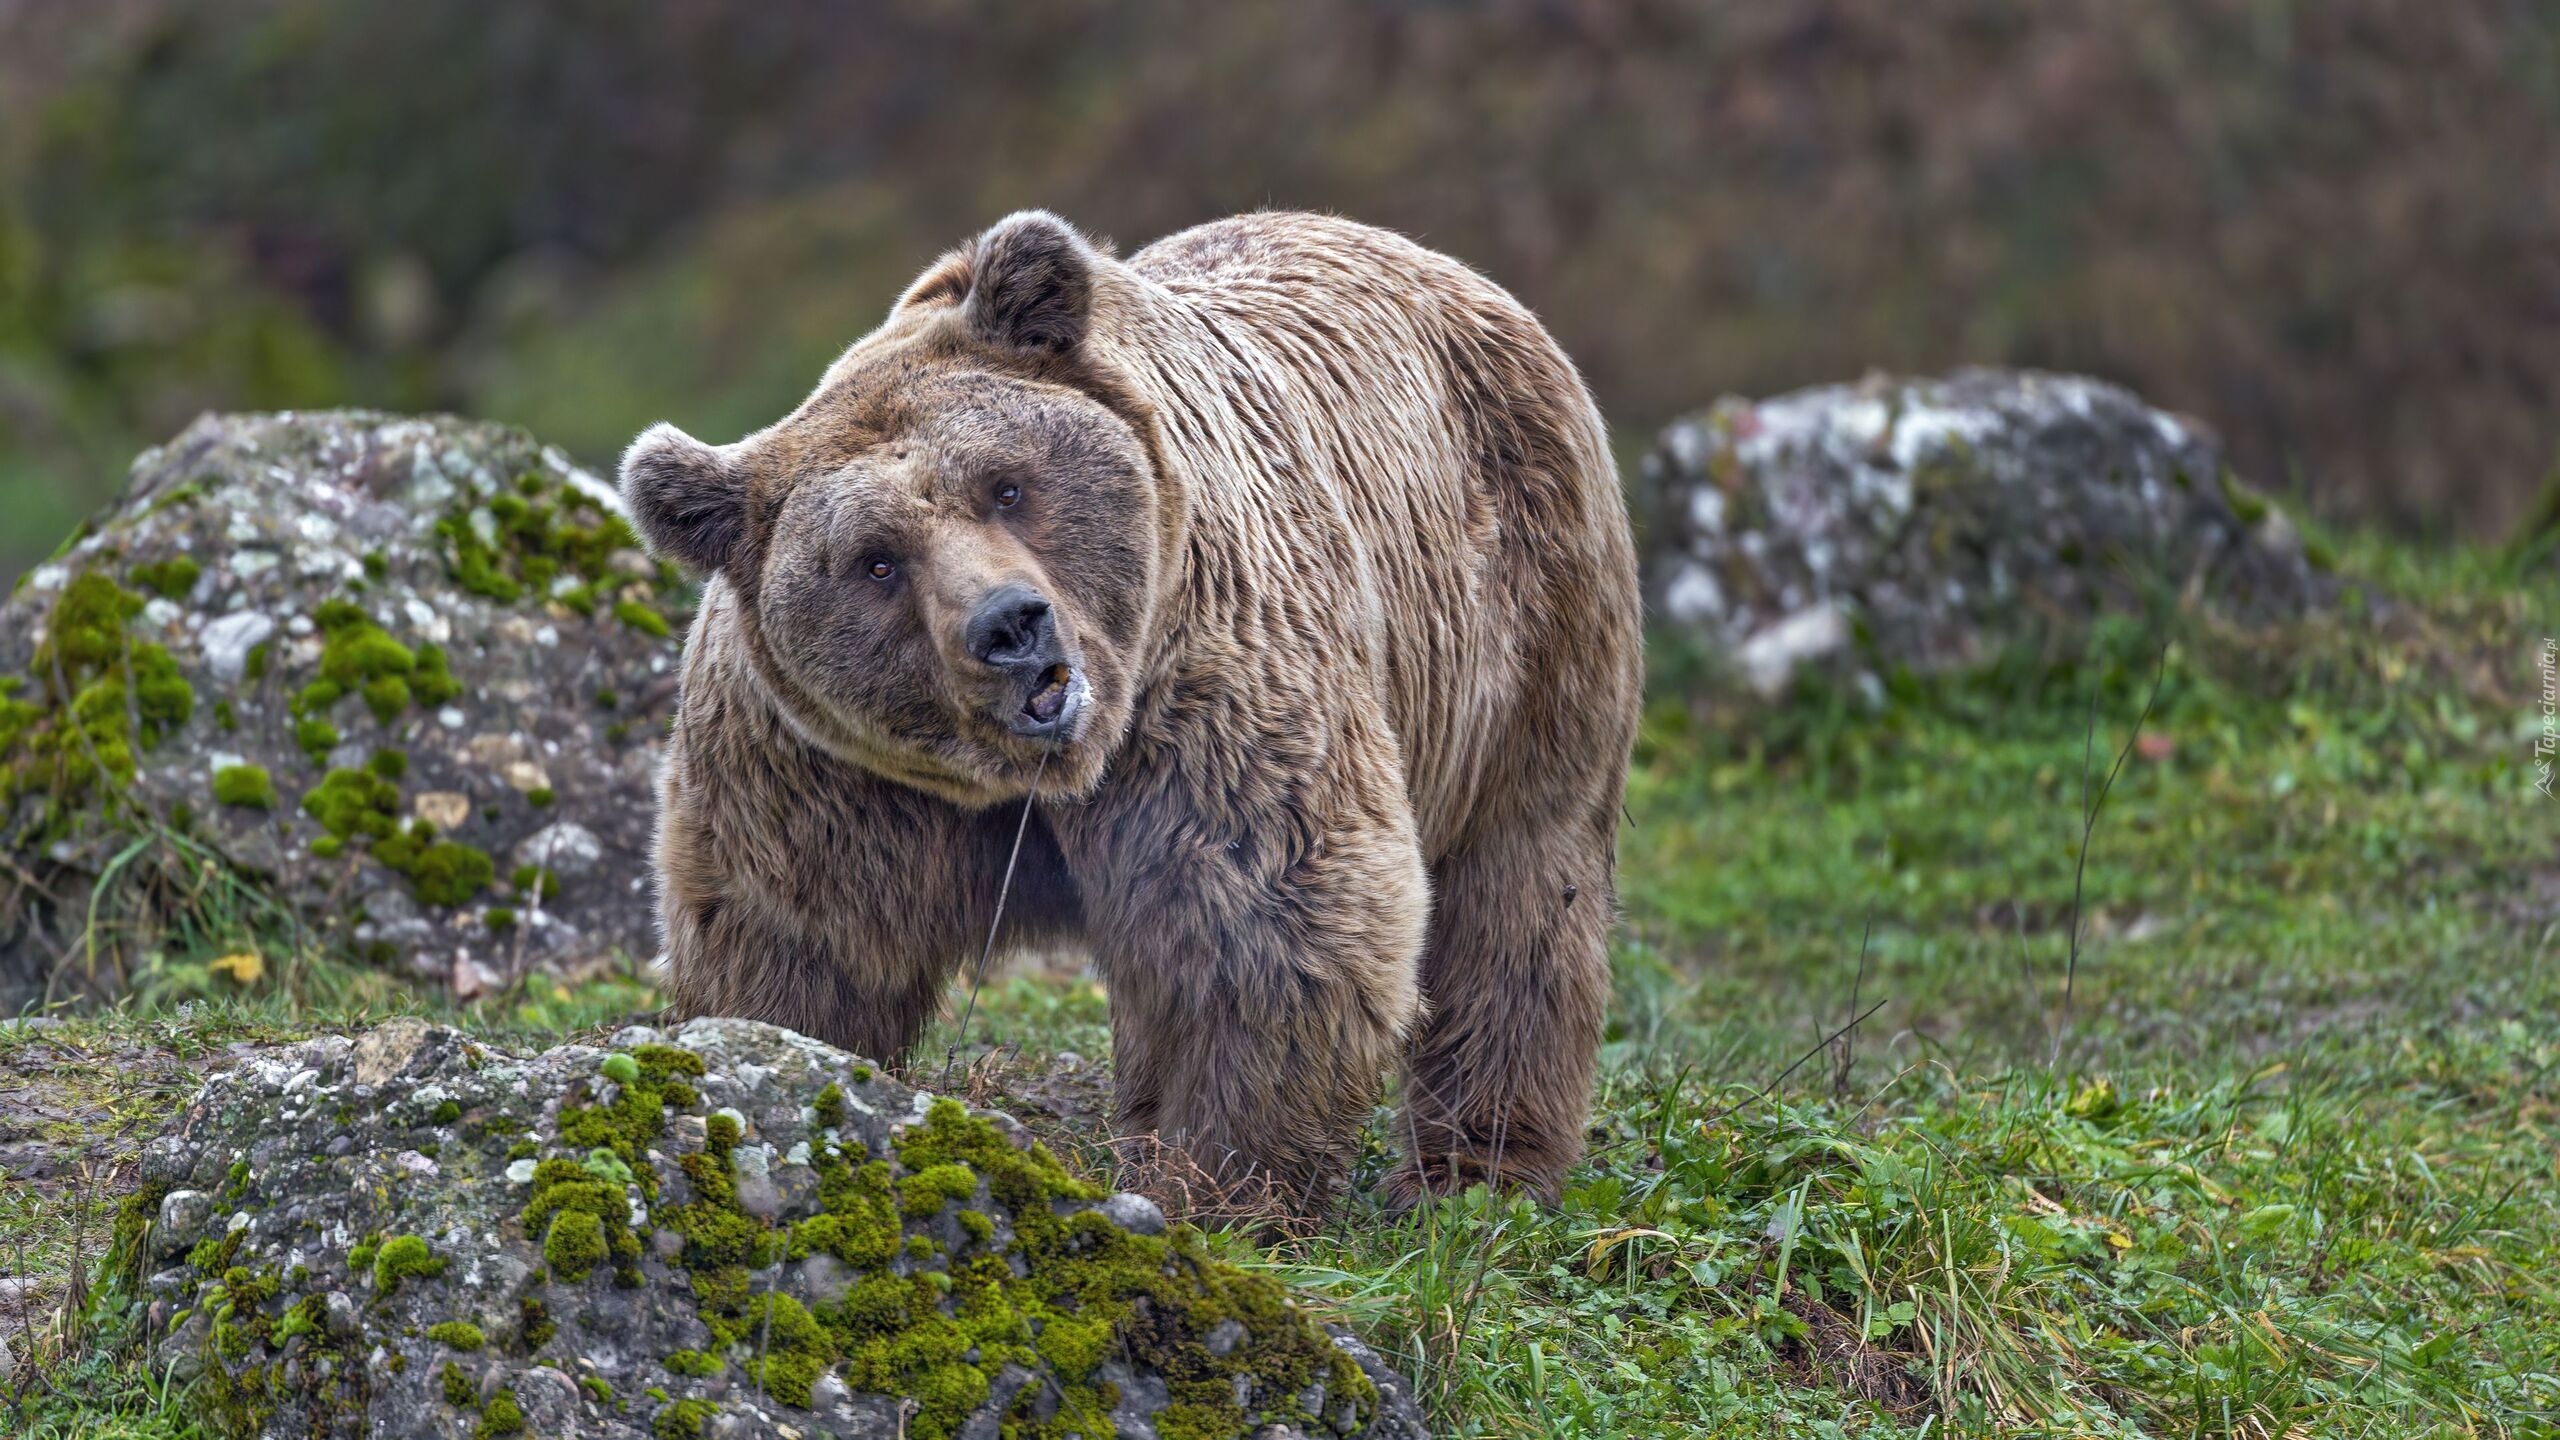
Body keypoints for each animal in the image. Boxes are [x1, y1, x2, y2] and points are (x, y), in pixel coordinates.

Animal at [614, 210, 1638, 1199]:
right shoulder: (820, 768)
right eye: (875, 560)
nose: (1010, 624)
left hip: (1526, 611)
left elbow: (1265, 919)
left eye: (1006, 485)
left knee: (1520, 883)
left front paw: (1225, 1182)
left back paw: (1475, 1169)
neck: (1027, 783)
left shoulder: (1201, 678)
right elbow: (797, 945)